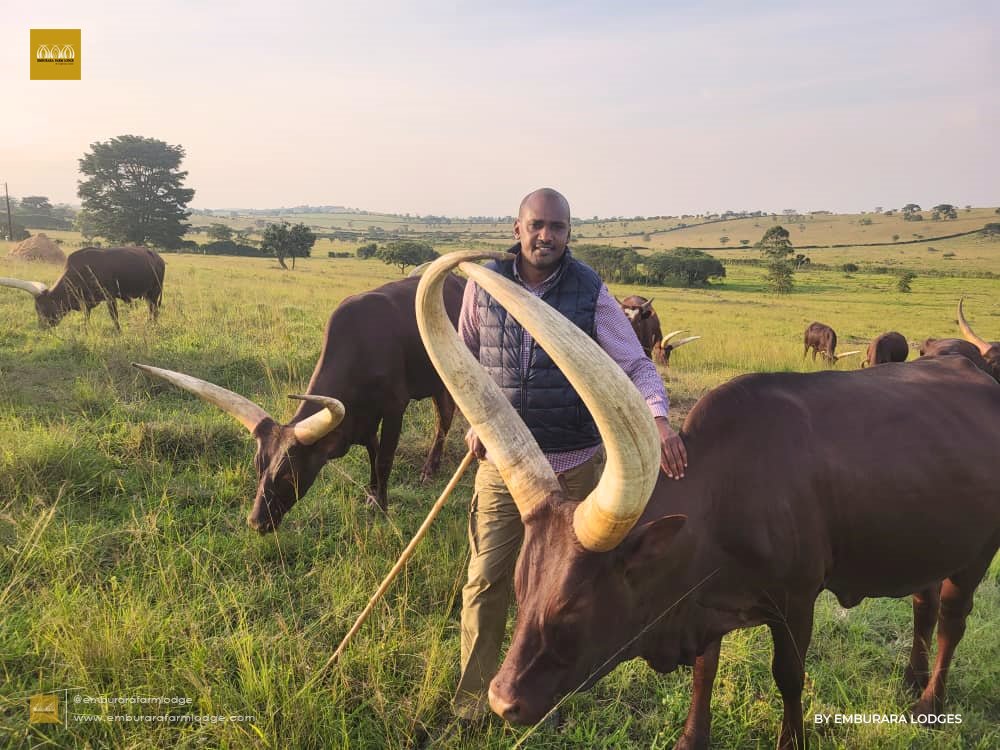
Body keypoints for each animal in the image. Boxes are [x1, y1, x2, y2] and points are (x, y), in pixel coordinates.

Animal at [0, 247, 166, 332]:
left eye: (42, 308)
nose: (42, 328)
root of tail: (157, 257)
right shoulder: (86, 302)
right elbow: (87, 316)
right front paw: (86, 329)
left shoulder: (110, 297)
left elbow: (114, 317)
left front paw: (118, 331)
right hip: (148, 295)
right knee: (151, 310)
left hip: (155, 292)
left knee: (154, 311)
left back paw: (152, 326)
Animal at [134, 274, 468, 532]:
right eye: (257, 466)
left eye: (288, 475)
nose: (256, 522)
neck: (361, 346)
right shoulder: (359, 420)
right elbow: (373, 453)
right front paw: (372, 494)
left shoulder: (394, 408)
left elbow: (385, 457)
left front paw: (380, 505)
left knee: (443, 419)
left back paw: (429, 469)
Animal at [414, 253, 1000, 750]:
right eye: (521, 588)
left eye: (573, 605)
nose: (501, 700)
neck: (730, 496)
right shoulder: (702, 597)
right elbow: (704, 670)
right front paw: (692, 738)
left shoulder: (797, 601)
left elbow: (789, 677)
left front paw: (791, 741)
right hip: (930, 537)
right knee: (924, 603)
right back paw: (911, 679)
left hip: (976, 554)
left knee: (952, 619)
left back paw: (929, 702)